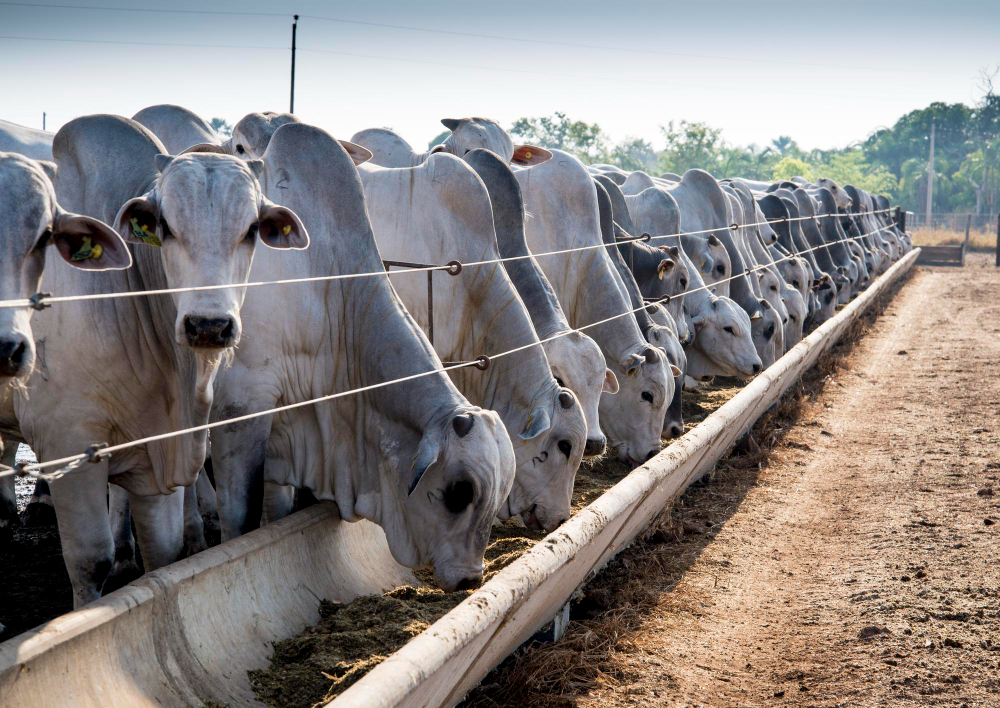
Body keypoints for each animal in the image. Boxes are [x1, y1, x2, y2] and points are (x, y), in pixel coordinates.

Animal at [1, 114, 308, 607]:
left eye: (251, 230)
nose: (208, 325)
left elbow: (163, 552)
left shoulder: (154, 453)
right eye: (165, 227)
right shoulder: (66, 439)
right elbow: (91, 560)